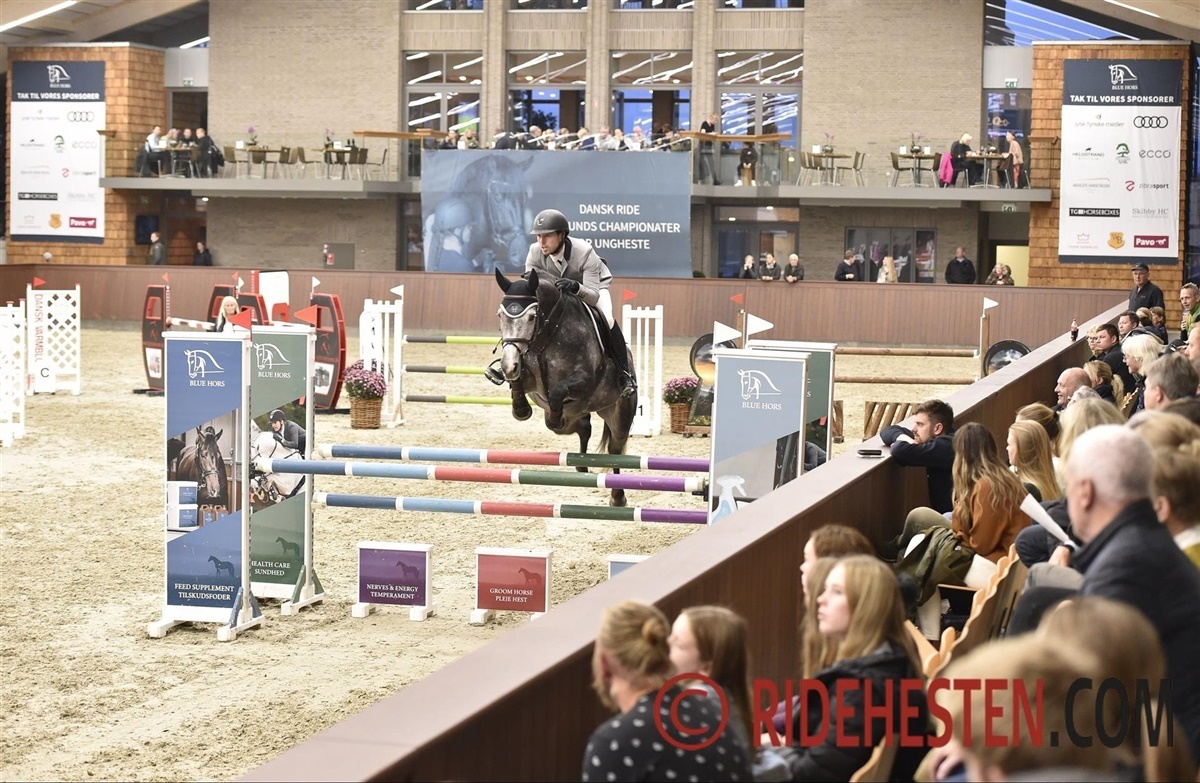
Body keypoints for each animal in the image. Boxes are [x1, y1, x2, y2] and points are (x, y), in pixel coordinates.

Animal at [495, 267, 636, 507]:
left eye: (531, 317)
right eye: (500, 315)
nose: (508, 365)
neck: (547, 333)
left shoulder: (584, 380)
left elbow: (557, 392)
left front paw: (550, 414)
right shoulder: (529, 377)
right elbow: (520, 381)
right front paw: (521, 409)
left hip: (620, 414)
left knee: (615, 450)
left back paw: (618, 497)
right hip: (579, 414)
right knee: (582, 427)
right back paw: (580, 461)